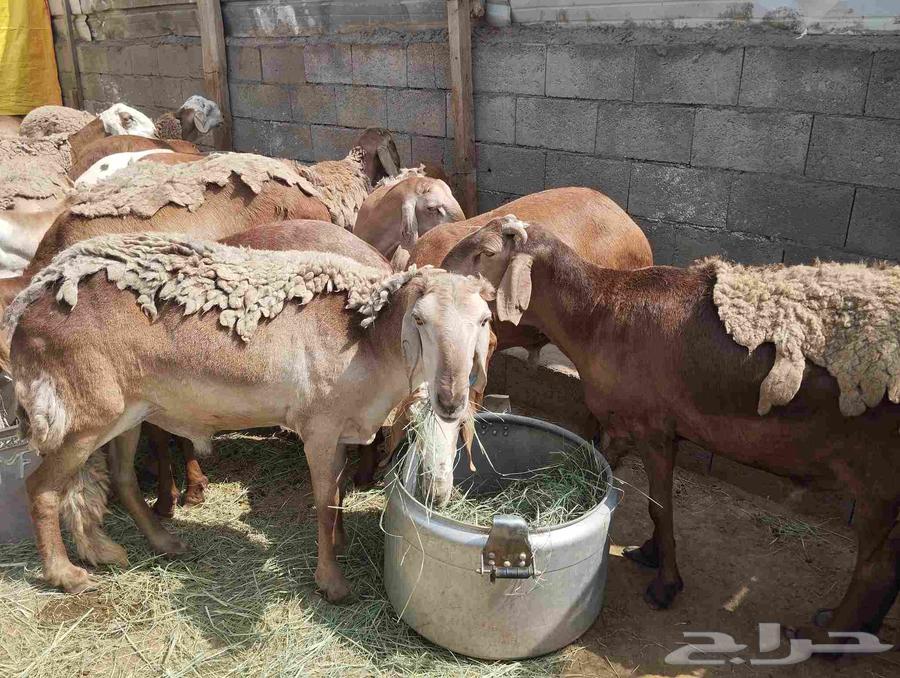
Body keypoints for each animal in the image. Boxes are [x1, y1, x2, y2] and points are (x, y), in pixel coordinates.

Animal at [4, 226, 493, 602]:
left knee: (119, 479)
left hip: (128, 411)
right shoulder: (319, 429)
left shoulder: (339, 431)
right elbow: (322, 502)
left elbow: (336, 496)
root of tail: (31, 306)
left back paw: (149, 546)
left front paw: (340, 543)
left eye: (484, 321)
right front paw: (332, 582)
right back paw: (68, 575)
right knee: (43, 488)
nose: (450, 400)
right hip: (84, 413)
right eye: (421, 320)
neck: (368, 340)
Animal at [443, 216, 900, 642]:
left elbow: (660, 507)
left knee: (877, 567)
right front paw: (648, 551)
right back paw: (860, 626)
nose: (439, 272)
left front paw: (666, 584)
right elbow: (604, 472)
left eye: (486, 252)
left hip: (879, 477)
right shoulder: (623, 423)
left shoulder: (654, 429)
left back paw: (828, 634)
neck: (597, 313)